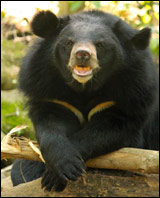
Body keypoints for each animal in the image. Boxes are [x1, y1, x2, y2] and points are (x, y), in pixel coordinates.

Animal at [11, 9, 159, 192]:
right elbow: (50, 124)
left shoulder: (131, 94)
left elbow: (107, 131)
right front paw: (61, 168)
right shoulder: (49, 89)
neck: (84, 87)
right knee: (19, 168)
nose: (82, 54)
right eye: (69, 42)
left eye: (100, 44)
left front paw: (58, 174)